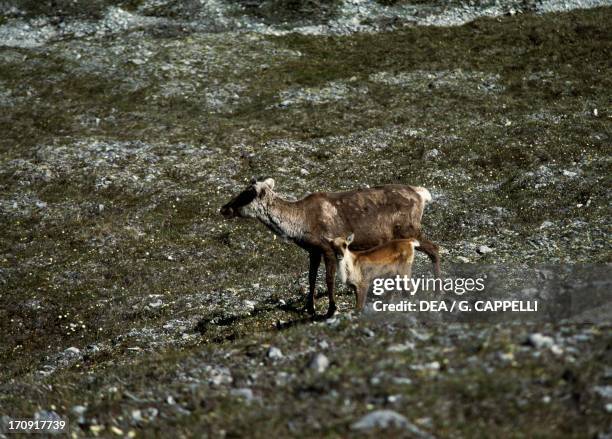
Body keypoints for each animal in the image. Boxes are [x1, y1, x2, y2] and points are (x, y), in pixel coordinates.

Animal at [220, 177, 440, 318]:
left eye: (247, 194)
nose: (223, 208)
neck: (300, 225)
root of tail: (423, 194)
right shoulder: (313, 251)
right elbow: (311, 278)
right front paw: (310, 307)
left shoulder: (328, 248)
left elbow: (328, 280)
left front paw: (331, 309)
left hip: (410, 230)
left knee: (435, 248)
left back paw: (437, 291)